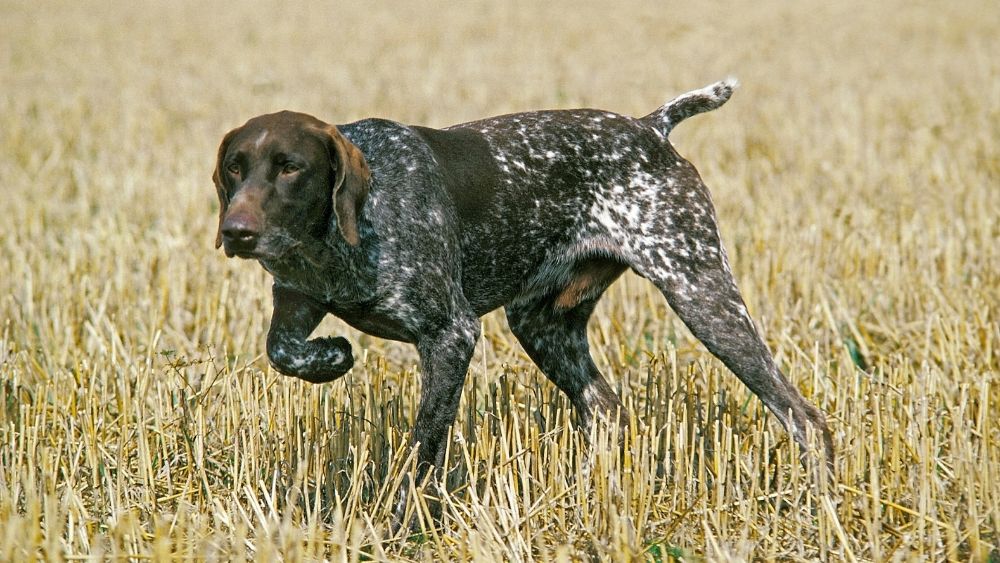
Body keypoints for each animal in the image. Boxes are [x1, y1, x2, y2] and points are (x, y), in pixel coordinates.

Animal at [213, 78, 836, 520]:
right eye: (234, 169)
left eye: (291, 169)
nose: (236, 232)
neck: (341, 236)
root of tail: (650, 129)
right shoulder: (297, 296)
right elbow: (281, 349)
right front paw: (329, 359)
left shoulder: (451, 334)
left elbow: (424, 446)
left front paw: (404, 523)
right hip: (542, 323)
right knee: (606, 408)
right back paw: (591, 498)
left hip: (700, 290)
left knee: (803, 417)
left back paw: (818, 505)